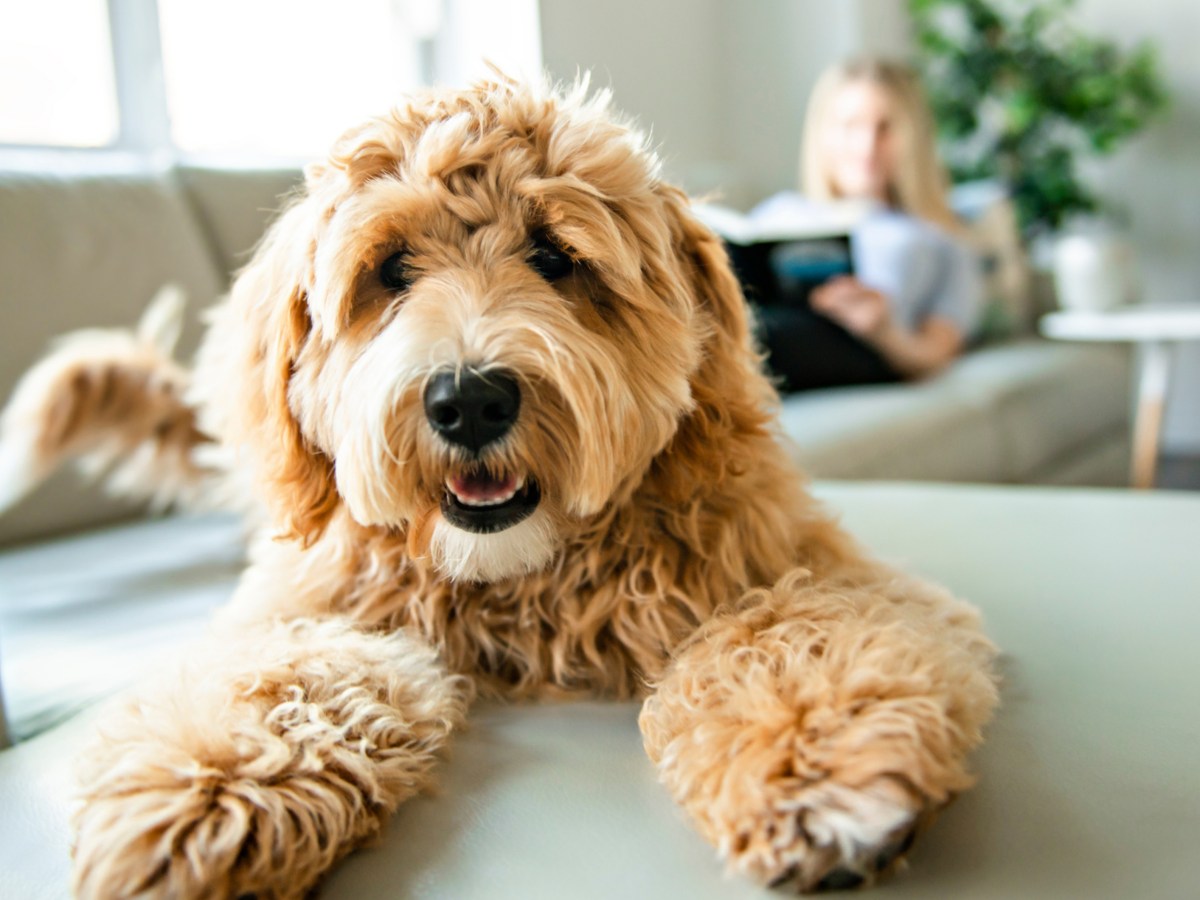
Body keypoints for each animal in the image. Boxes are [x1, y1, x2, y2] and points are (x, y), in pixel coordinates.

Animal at [0, 79, 993, 900]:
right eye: (391, 270)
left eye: (554, 258)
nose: (469, 400)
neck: (521, 580)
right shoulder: (308, 607)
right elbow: (286, 676)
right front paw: (203, 797)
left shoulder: (803, 565)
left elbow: (788, 632)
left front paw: (818, 764)